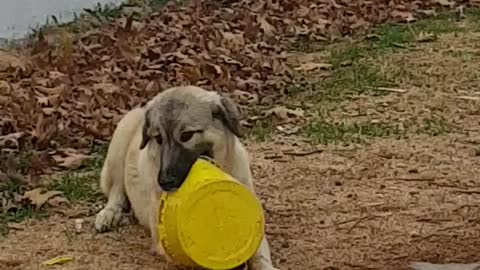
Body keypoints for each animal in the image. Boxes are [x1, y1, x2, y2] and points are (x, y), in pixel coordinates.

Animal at [94, 85, 280, 270]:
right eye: (158, 138)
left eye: (186, 135)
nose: (165, 182)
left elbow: (259, 253)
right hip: (119, 145)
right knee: (116, 190)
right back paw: (109, 214)